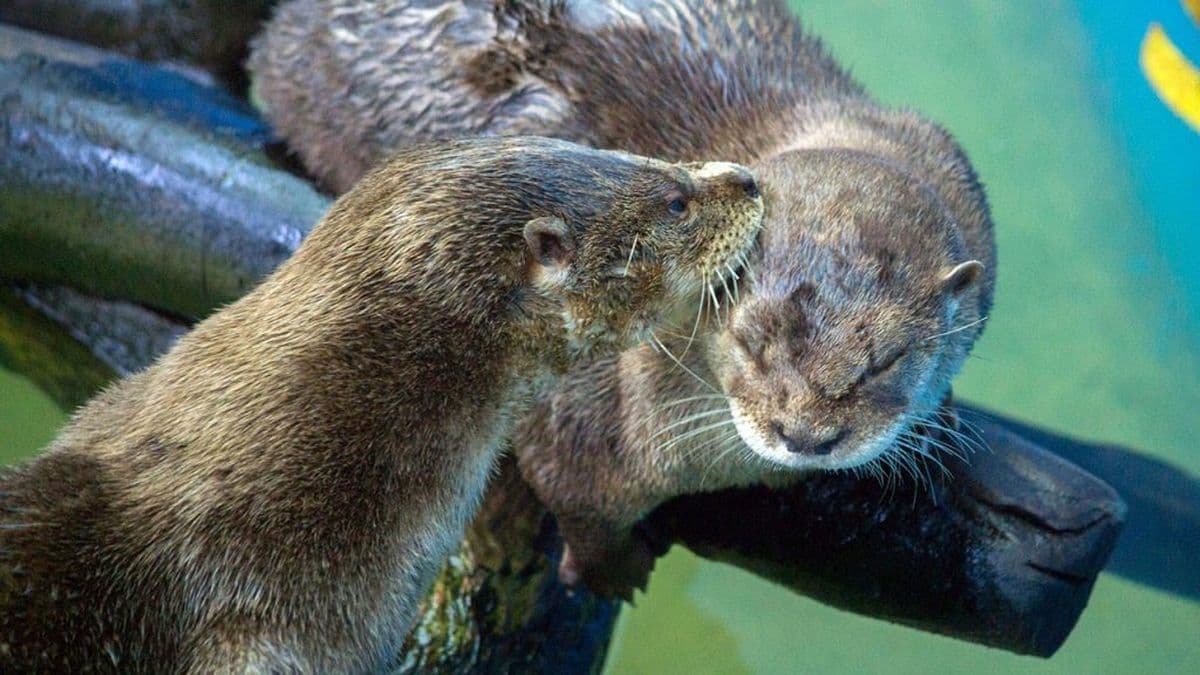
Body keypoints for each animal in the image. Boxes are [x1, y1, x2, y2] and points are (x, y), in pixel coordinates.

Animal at [250, 0, 996, 596]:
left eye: (886, 361)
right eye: (750, 341)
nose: (806, 436)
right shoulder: (585, 401)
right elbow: (572, 492)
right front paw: (611, 569)